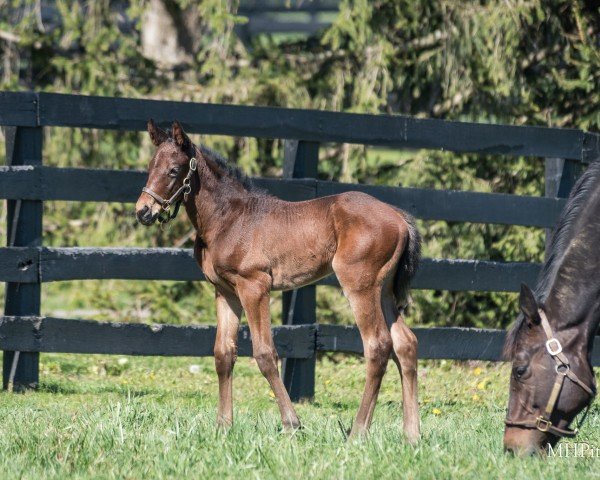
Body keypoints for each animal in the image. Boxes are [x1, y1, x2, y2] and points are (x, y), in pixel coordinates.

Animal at [136, 121, 422, 442]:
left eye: (174, 170)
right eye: (150, 166)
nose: (143, 211)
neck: (228, 218)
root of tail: (399, 217)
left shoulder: (254, 286)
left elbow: (265, 353)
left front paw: (291, 423)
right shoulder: (225, 292)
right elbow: (223, 353)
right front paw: (223, 427)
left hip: (360, 285)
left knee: (378, 345)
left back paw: (358, 431)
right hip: (383, 291)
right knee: (405, 343)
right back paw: (412, 434)